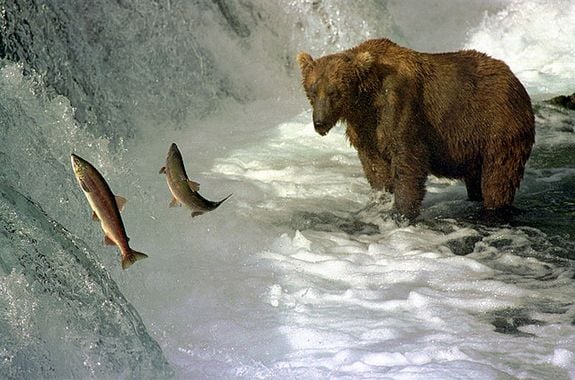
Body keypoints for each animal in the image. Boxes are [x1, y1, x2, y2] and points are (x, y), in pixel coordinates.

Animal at [300, 37, 536, 220]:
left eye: (334, 92)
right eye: (312, 91)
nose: (319, 122)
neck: (365, 100)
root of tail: (514, 78)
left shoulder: (399, 103)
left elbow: (408, 157)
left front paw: (401, 211)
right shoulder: (364, 127)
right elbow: (374, 165)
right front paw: (381, 199)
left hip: (497, 125)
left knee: (499, 177)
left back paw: (494, 207)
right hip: (474, 144)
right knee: (476, 177)